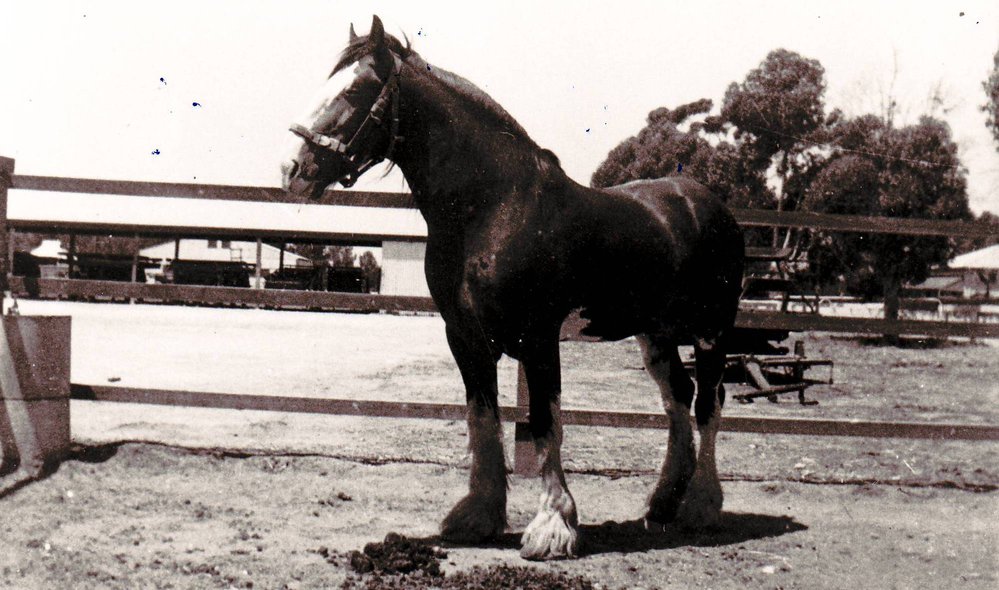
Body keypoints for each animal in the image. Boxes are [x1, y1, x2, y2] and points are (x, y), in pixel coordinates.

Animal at [281, 16, 745, 560]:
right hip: (655, 333)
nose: (293, 171)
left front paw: (553, 526)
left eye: (355, 90)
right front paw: (476, 515)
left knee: (708, 403)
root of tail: (706, 204)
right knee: (677, 398)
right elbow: (482, 418)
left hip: (712, 330)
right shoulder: (464, 336)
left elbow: (545, 421)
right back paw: (662, 504)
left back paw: (701, 506)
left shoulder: (538, 337)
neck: (494, 208)